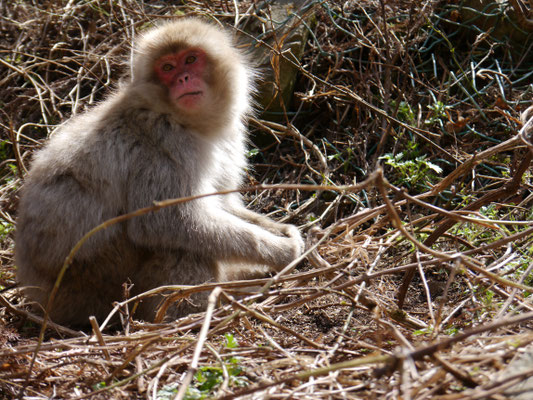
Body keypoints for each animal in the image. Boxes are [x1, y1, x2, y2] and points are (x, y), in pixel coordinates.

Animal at [15, 18, 304, 328]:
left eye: (190, 59)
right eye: (167, 67)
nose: (183, 79)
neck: (190, 123)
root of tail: (37, 293)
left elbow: (223, 204)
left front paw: (283, 231)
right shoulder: (163, 146)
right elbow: (166, 220)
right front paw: (279, 250)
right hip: (91, 287)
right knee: (180, 247)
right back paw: (190, 315)